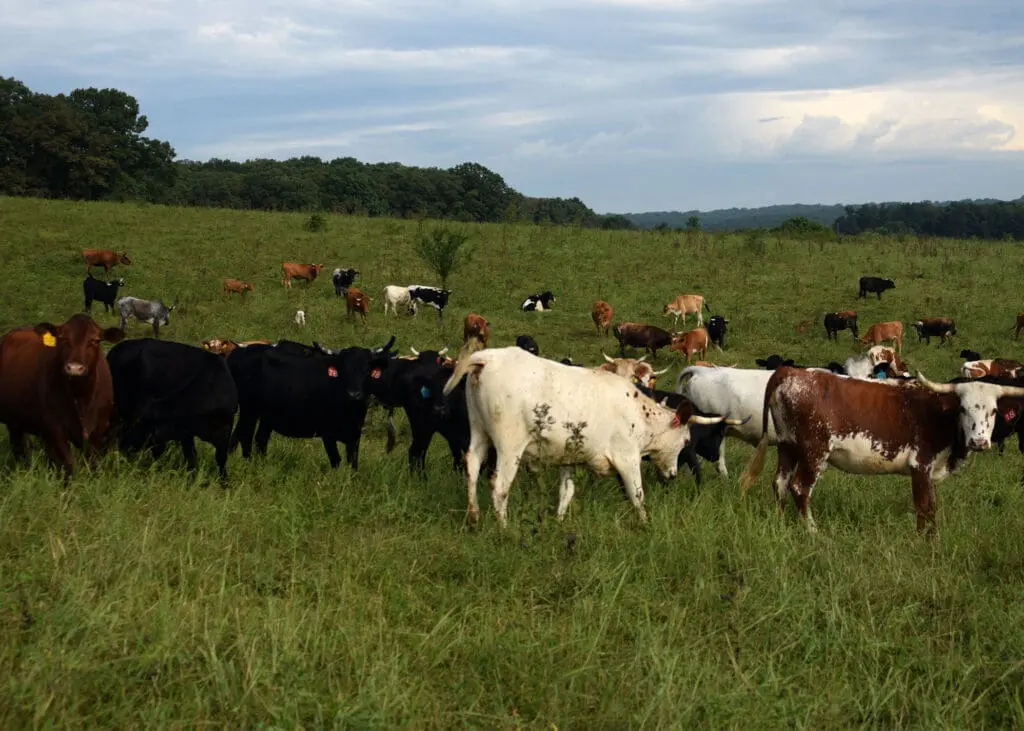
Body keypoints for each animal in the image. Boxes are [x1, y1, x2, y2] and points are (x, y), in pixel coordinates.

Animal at [0, 315, 124, 480]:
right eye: (63, 338)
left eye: (95, 340)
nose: (75, 368)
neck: (80, 397)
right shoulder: (55, 428)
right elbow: (68, 466)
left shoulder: (99, 428)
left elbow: (92, 463)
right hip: (14, 421)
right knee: (20, 449)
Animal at [107, 339, 238, 481]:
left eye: (138, 426)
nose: (120, 449)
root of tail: (116, 350)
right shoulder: (184, 432)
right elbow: (191, 457)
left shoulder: (224, 429)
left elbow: (220, 459)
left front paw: (224, 481)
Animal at [228, 336, 396, 469]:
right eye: (343, 370)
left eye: (366, 370)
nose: (353, 394)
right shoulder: (327, 434)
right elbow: (336, 462)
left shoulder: (355, 436)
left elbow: (353, 463)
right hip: (249, 410)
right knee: (244, 436)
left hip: (266, 416)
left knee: (260, 439)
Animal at [442, 346, 737, 527]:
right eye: (685, 441)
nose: (673, 474)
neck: (637, 413)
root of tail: (487, 358)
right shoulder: (627, 458)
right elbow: (637, 494)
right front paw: (645, 523)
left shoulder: (569, 458)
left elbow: (566, 491)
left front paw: (559, 520)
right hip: (509, 446)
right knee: (500, 486)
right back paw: (504, 527)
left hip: (479, 432)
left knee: (472, 466)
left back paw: (474, 516)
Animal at [739, 367, 1024, 532]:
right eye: (963, 408)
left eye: (994, 411)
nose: (979, 442)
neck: (939, 413)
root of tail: (790, 372)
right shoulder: (920, 464)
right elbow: (923, 505)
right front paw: (923, 540)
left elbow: (931, 505)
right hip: (814, 452)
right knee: (800, 488)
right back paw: (812, 531)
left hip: (787, 445)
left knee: (780, 483)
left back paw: (780, 523)